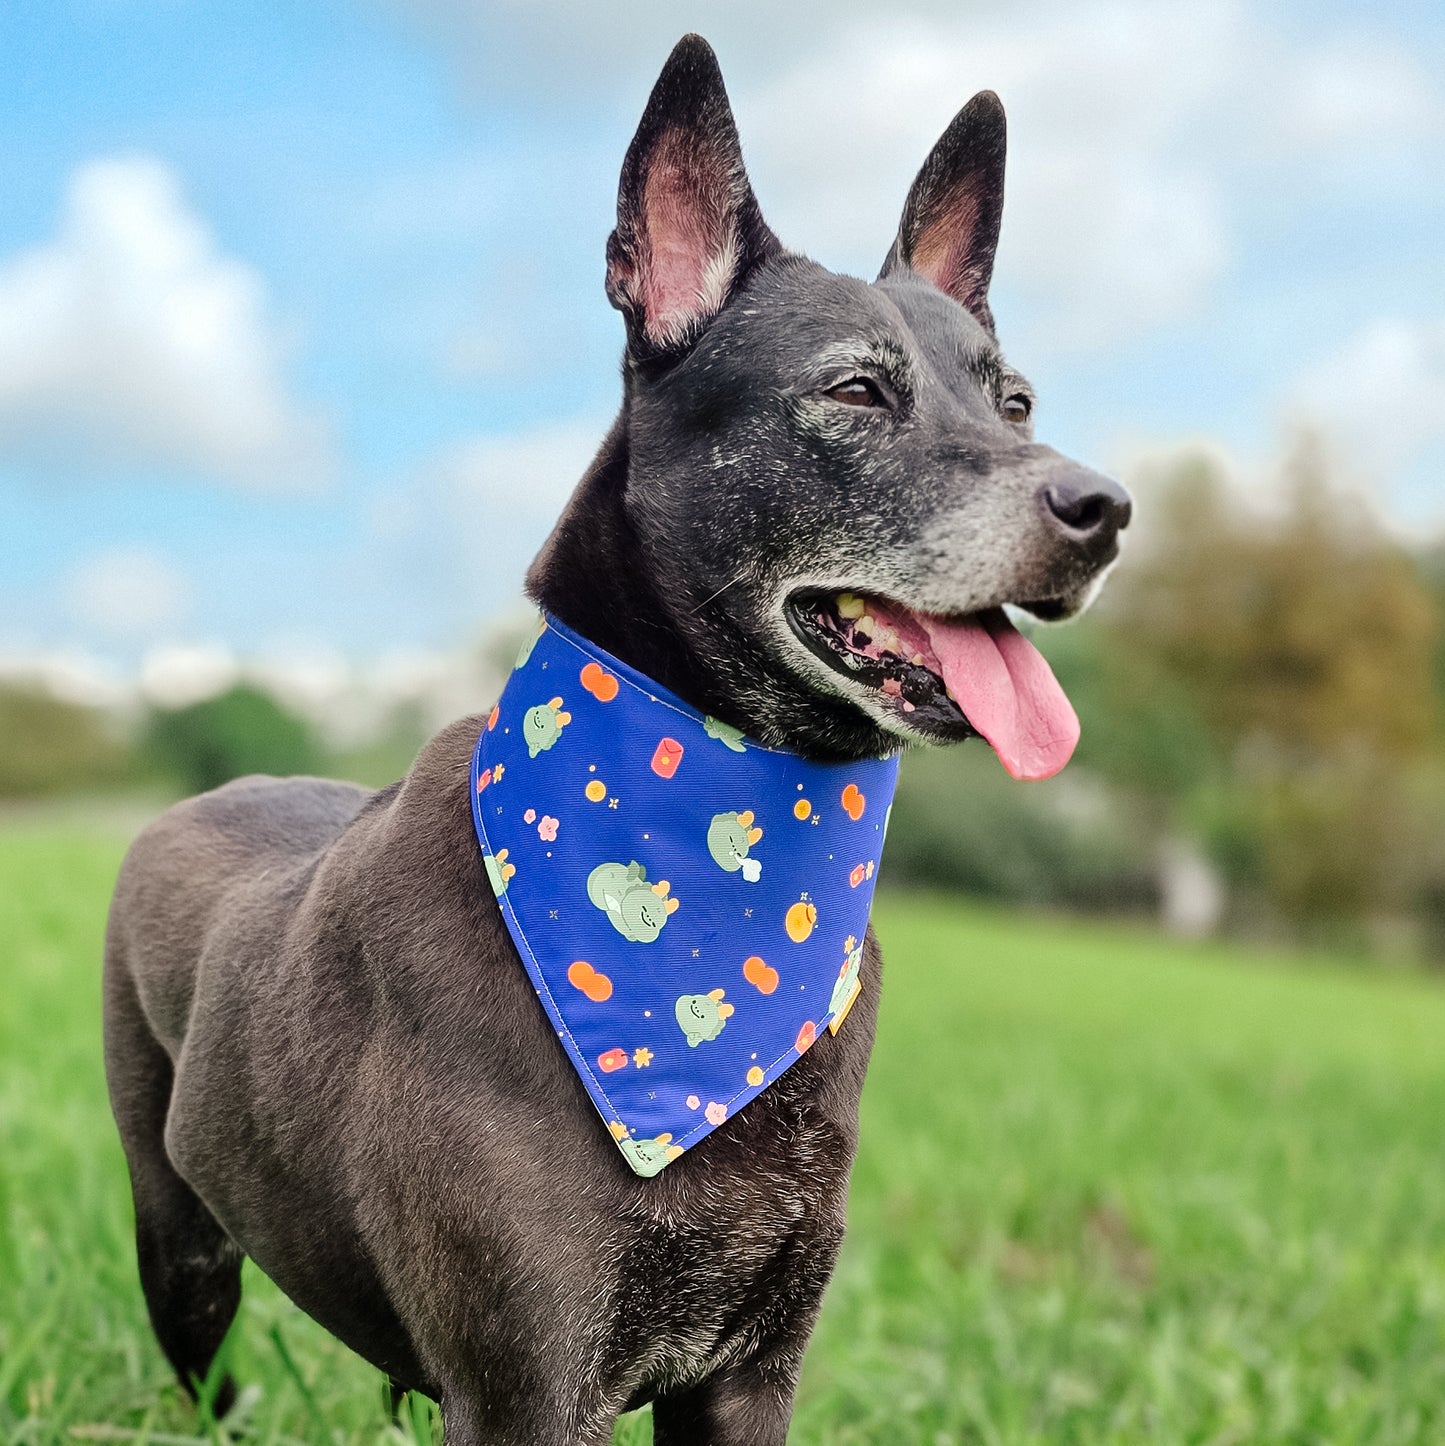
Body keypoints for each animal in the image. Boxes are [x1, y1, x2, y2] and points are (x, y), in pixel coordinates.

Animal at [107, 33, 1134, 1446]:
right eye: (854, 391)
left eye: (1017, 401)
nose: (1105, 510)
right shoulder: (529, 1387)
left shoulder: (745, 1377)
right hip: (183, 1249)